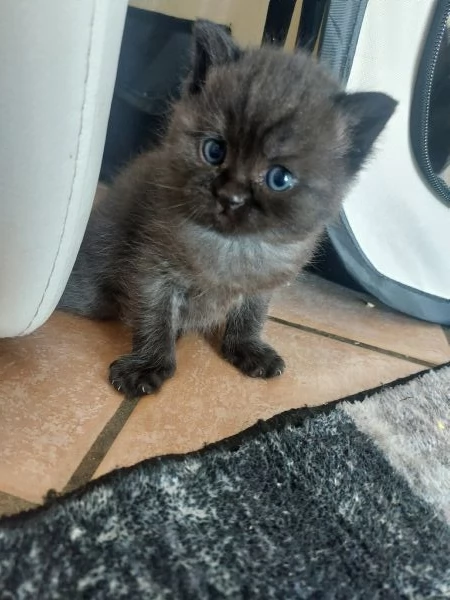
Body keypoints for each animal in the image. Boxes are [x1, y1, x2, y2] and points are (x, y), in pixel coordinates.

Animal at [59, 19, 398, 398]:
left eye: (279, 178)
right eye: (214, 150)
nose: (230, 195)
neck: (234, 247)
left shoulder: (262, 285)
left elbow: (251, 316)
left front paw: (247, 348)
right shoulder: (151, 271)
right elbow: (153, 319)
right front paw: (149, 365)